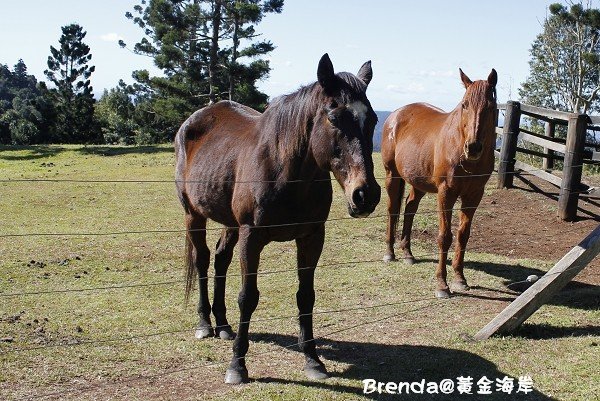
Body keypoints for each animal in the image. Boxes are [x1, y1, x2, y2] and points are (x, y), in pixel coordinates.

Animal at [173, 54, 380, 384]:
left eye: (372, 119)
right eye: (334, 118)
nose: (366, 195)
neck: (287, 172)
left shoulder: (312, 237)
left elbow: (306, 296)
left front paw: (313, 360)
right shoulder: (252, 237)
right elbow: (248, 297)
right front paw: (237, 366)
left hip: (229, 223)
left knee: (220, 258)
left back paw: (223, 325)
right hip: (193, 215)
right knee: (202, 260)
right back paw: (205, 324)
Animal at [384, 70, 496, 298]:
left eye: (490, 106)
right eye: (465, 104)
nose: (473, 147)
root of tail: (395, 115)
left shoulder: (474, 195)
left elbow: (463, 235)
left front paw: (460, 279)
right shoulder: (446, 193)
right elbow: (445, 236)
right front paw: (442, 284)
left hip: (418, 181)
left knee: (409, 207)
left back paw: (407, 253)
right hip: (393, 175)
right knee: (392, 210)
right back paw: (390, 252)